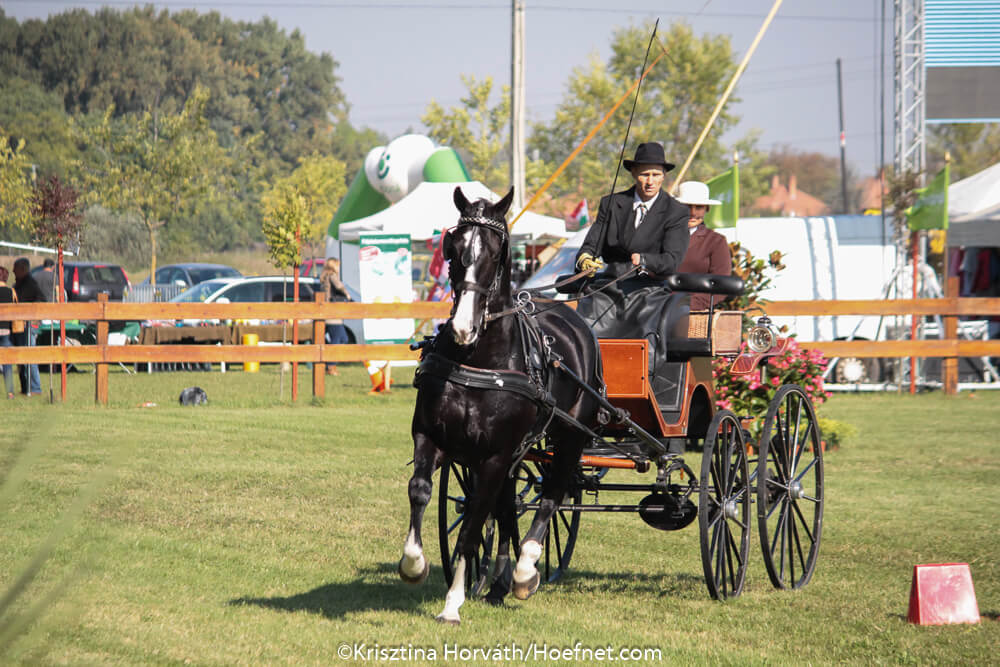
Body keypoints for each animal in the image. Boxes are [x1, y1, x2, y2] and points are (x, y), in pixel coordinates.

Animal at [398, 185, 600, 624]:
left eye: (496, 253)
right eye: (454, 248)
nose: (462, 327)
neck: (480, 359)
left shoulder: (493, 456)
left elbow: (473, 527)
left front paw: (452, 603)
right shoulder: (433, 437)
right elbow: (420, 490)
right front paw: (414, 564)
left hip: (570, 437)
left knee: (551, 494)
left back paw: (526, 571)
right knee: (507, 509)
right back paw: (501, 582)